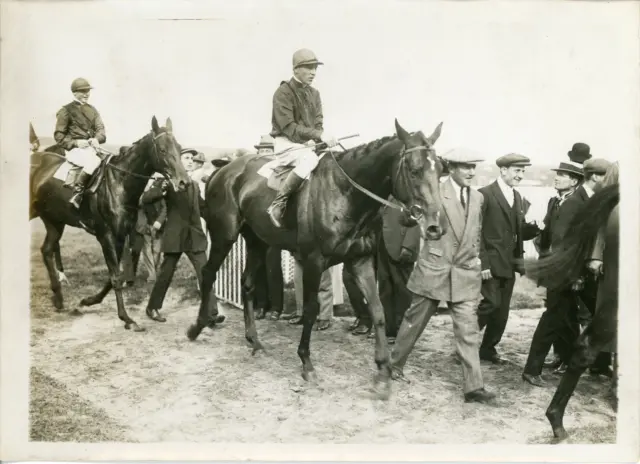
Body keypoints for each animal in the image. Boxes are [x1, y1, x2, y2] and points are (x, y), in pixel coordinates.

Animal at [30, 118, 190, 332]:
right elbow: (115, 276)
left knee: (46, 250)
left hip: (54, 221)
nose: (184, 182)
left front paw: (89, 301)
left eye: (179, 148)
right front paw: (127, 318)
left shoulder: (120, 235)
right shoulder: (105, 236)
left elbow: (116, 274)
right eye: (163, 150)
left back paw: (58, 297)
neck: (119, 184)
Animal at [185, 118, 444, 396]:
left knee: (247, 285)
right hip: (224, 234)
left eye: (440, 169)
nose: (435, 226)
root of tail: (221, 171)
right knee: (208, 273)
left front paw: (383, 370)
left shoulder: (360, 260)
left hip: (257, 242)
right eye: (414, 170)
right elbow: (310, 310)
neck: (345, 193)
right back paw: (198, 326)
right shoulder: (314, 261)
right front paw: (306, 363)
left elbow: (377, 311)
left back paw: (254, 341)